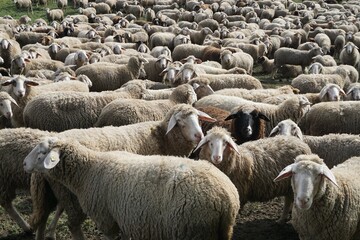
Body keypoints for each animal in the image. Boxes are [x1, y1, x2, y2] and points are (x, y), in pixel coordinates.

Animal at [23, 137, 240, 240]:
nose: (24, 164)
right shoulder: (123, 217)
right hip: (221, 231)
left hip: (194, 230)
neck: (88, 171)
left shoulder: (106, 221)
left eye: (42, 152)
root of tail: (226, 199)